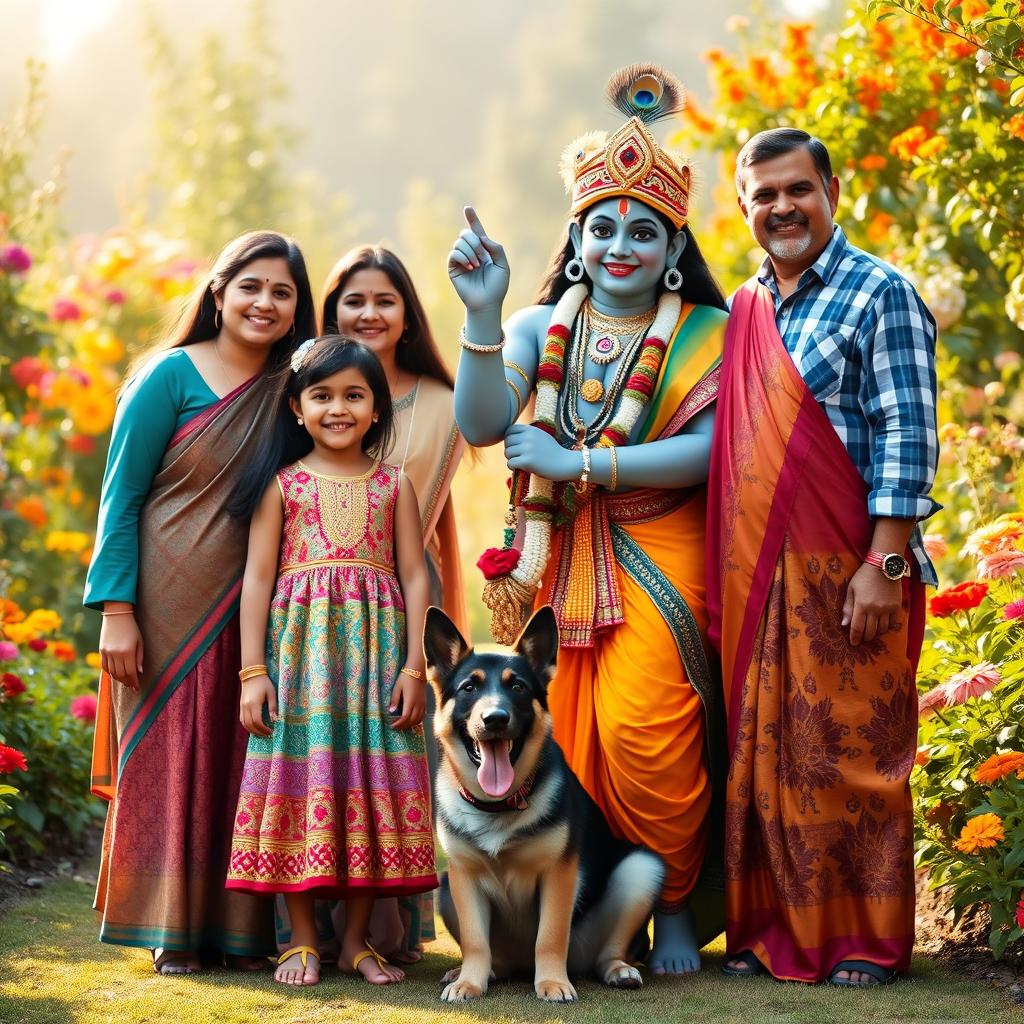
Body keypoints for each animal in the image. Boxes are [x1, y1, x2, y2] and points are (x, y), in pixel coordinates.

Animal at [421, 602, 663, 1003]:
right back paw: (481, 972)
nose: (495, 718)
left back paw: (617, 970)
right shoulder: (463, 876)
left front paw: (552, 982)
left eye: (517, 687)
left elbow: (549, 936)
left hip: (640, 871)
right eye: (469, 687)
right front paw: (470, 981)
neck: (498, 805)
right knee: (495, 958)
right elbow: (475, 943)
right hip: (445, 889)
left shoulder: (559, 874)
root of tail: (521, 967)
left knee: (607, 952)